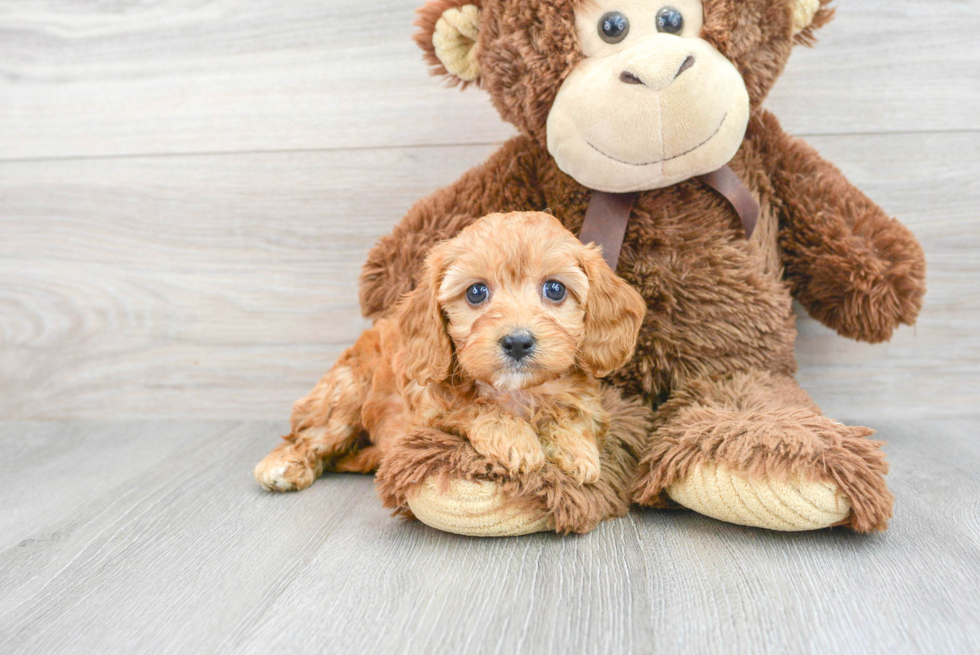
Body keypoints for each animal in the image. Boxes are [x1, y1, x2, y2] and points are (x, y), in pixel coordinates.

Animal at [256, 211, 648, 492]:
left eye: (555, 289)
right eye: (476, 292)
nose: (518, 342)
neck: (515, 392)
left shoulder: (583, 399)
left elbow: (573, 414)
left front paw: (576, 451)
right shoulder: (427, 414)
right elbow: (473, 408)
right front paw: (516, 439)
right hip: (345, 394)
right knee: (310, 435)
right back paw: (282, 466)